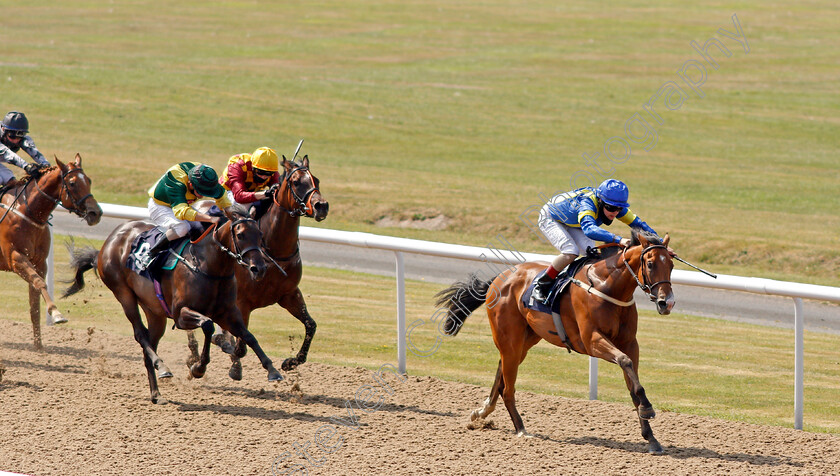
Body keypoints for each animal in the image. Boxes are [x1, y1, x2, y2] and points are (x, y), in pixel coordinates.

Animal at [0, 155, 101, 350]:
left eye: (89, 180)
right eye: (72, 183)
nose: (96, 213)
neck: (28, 212)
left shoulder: (39, 262)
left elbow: (35, 303)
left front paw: (38, 345)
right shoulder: (15, 258)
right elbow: (40, 283)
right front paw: (56, 314)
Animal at [64, 206, 278, 404]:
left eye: (260, 234)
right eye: (240, 235)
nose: (259, 268)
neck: (210, 267)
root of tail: (109, 242)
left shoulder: (227, 313)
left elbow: (248, 336)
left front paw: (272, 370)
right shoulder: (181, 315)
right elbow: (208, 325)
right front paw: (198, 367)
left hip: (154, 311)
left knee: (149, 344)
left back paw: (156, 394)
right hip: (123, 294)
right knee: (141, 335)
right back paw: (163, 367)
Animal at [189, 155, 330, 380]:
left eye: (315, 179)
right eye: (296, 182)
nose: (321, 206)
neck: (274, 252)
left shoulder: (289, 294)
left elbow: (311, 325)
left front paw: (291, 362)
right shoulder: (242, 302)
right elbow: (239, 346)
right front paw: (230, 357)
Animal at [436, 232, 672, 456]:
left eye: (671, 264)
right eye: (650, 263)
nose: (666, 303)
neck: (607, 286)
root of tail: (502, 276)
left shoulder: (630, 343)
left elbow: (632, 381)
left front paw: (651, 437)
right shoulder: (592, 341)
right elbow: (625, 361)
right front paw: (648, 408)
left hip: (525, 340)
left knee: (501, 372)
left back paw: (482, 412)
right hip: (509, 338)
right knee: (509, 387)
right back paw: (521, 429)